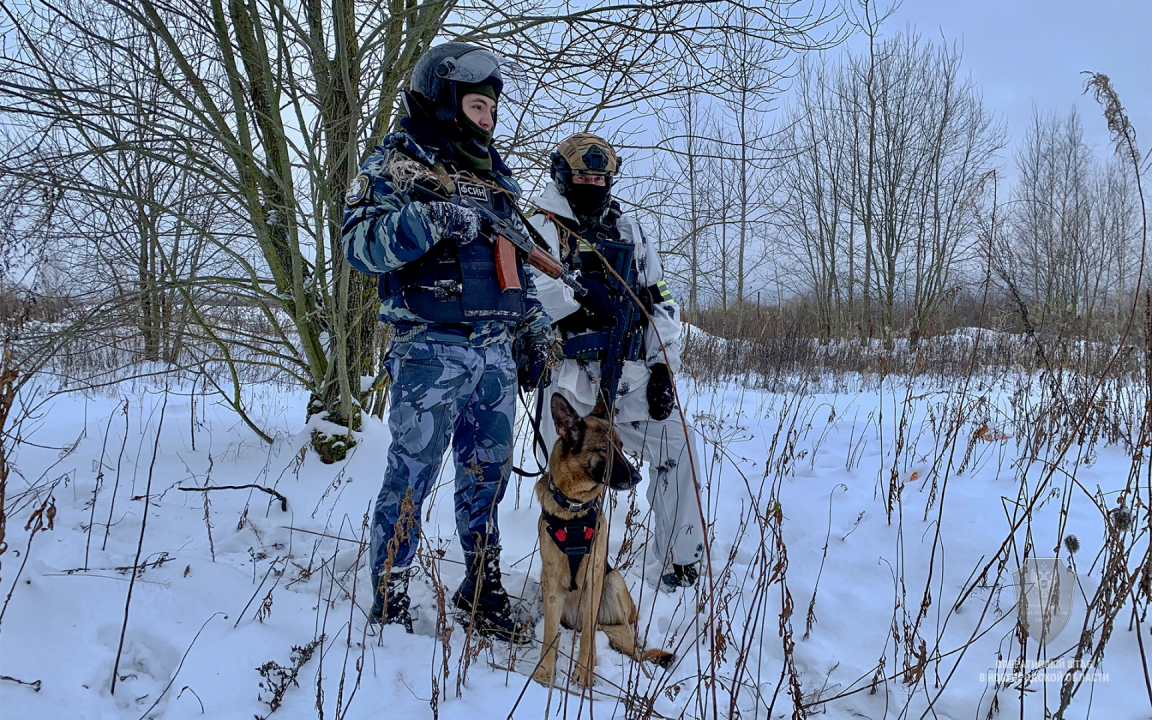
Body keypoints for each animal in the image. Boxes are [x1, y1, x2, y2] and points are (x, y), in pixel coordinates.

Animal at [532, 389, 672, 686]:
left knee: (610, 635)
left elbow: (586, 638)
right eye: (604, 449)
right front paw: (544, 672)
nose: (637, 477)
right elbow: (549, 634)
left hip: (613, 581)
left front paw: (583, 673)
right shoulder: (551, 583)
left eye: (620, 445)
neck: (574, 507)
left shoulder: (595, 575)